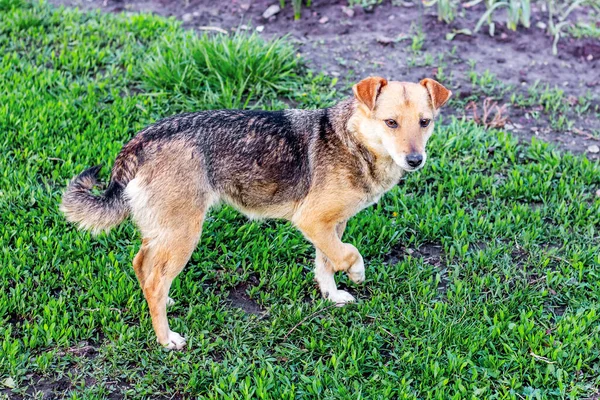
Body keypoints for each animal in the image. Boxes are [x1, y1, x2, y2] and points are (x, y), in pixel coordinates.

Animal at [62, 76, 450, 348]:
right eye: (390, 123)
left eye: (425, 122)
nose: (415, 160)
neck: (353, 140)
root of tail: (140, 141)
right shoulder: (313, 221)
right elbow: (348, 254)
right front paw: (356, 274)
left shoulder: (331, 225)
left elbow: (326, 262)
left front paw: (332, 295)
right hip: (184, 231)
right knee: (154, 276)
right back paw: (165, 339)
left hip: (164, 228)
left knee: (144, 266)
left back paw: (164, 298)